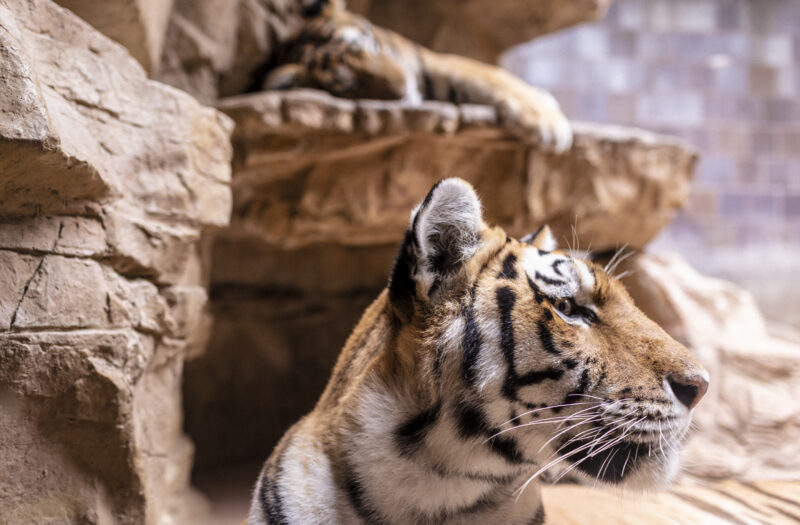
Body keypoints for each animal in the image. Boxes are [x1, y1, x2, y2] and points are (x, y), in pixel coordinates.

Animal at [260, 0, 568, 151]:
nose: (403, 87)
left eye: (366, 48)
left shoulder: (435, 62)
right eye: (349, 86)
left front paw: (551, 127)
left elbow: (495, 77)